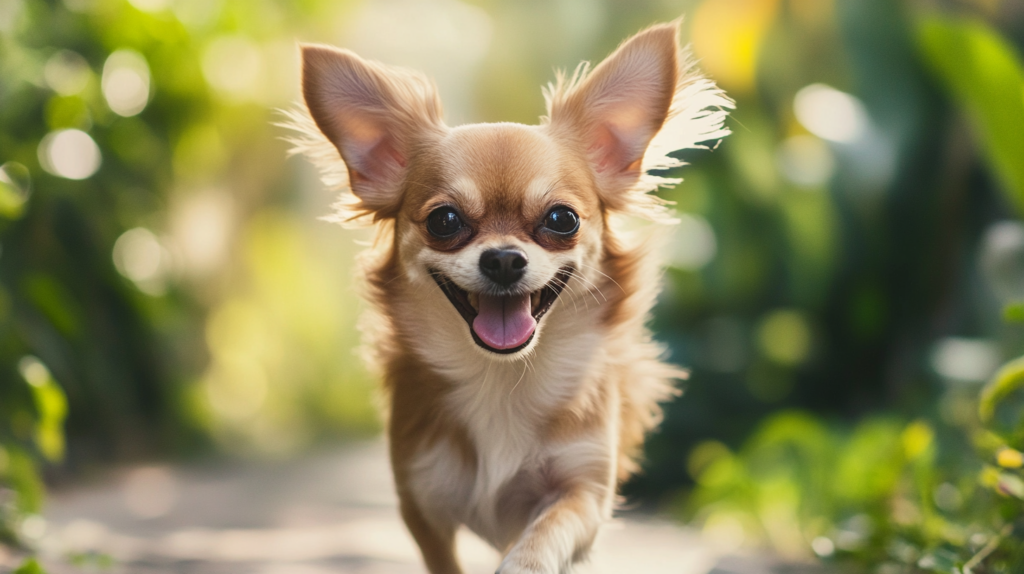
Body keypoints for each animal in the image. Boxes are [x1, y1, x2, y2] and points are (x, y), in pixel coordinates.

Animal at [292, 19, 733, 572]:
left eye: (562, 219)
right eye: (444, 221)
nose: (503, 259)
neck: (501, 380)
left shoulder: (582, 492)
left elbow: (544, 534)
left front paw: (526, 562)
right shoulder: (422, 506)